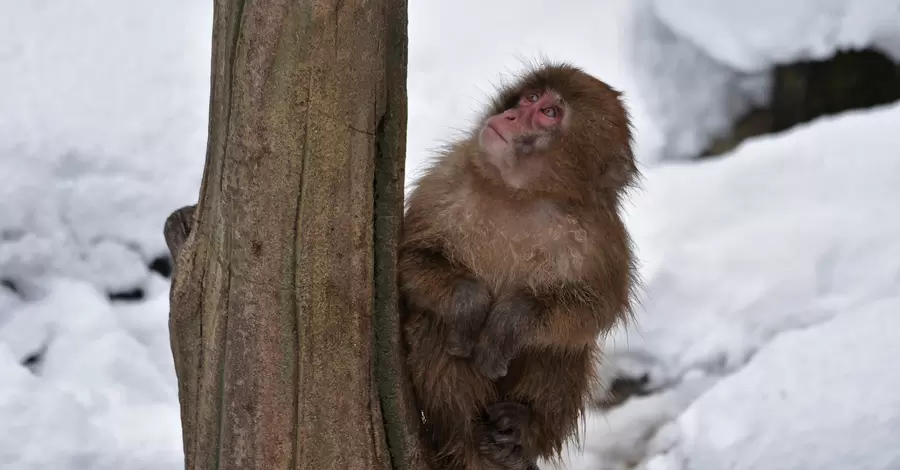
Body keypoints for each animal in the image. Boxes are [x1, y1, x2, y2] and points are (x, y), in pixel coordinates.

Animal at [400, 63, 640, 470]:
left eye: (549, 113)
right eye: (531, 97)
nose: (511, 115)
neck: (518, 195)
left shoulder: (600, 234)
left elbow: (597, 308)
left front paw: (511, 319)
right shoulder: (446, 178)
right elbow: (409, 259)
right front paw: (469, 301)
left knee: (563, 347)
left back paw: (523, 430)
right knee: (434, 325)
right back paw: (463, 436)